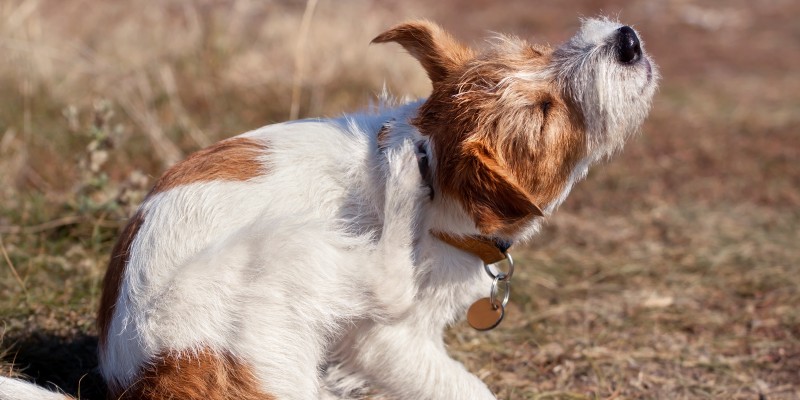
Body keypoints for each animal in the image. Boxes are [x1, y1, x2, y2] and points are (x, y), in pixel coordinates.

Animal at [0, 18, 656, 400]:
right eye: (546, 112)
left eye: (538, 49)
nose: (626, 39)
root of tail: (160, 377)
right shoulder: (388, 343)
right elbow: (466, 388)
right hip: (285, 247)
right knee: (386, 281)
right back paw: (401, 178)